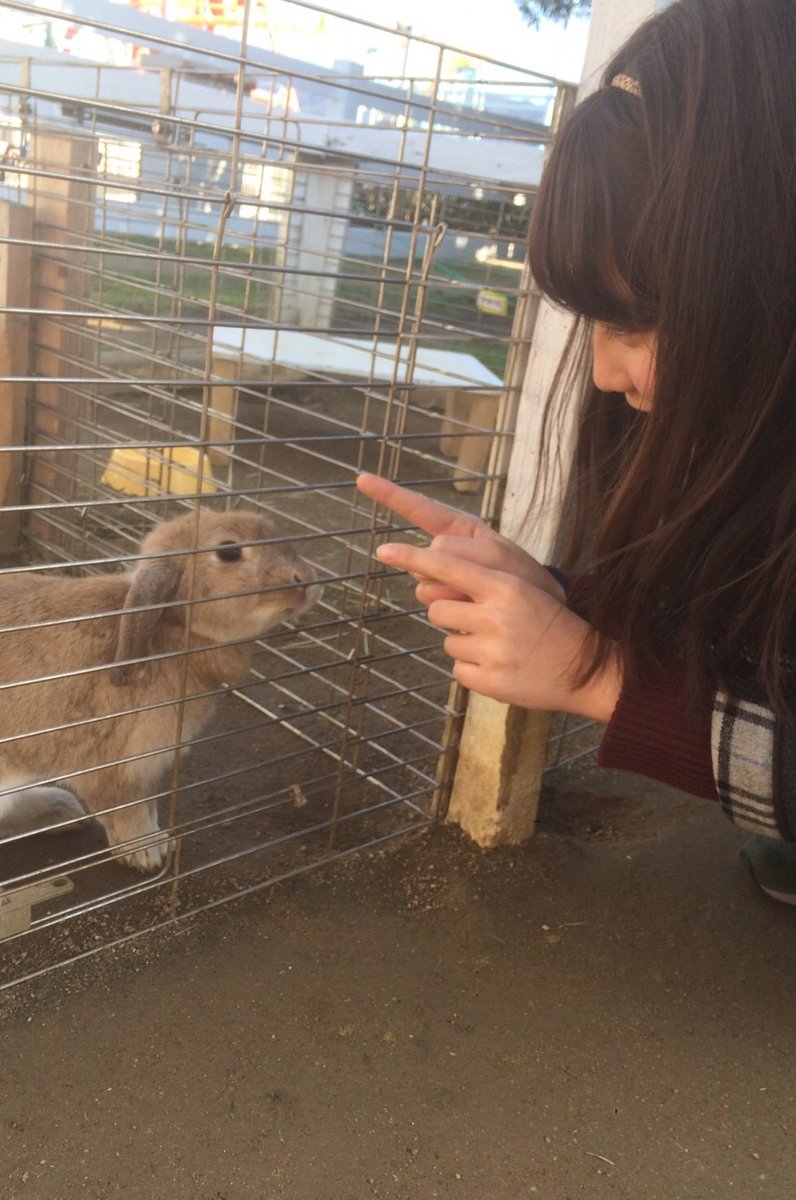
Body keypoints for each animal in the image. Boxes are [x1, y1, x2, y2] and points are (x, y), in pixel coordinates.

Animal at [0, 508, 324, 873]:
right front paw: (147, 853)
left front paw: (159, 840)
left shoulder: (149, 767)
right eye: (229, 551)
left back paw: (62, 810)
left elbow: (149, 805)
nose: (310, 582)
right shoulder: (113, 766)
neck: (173, 628)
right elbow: (125, 811)